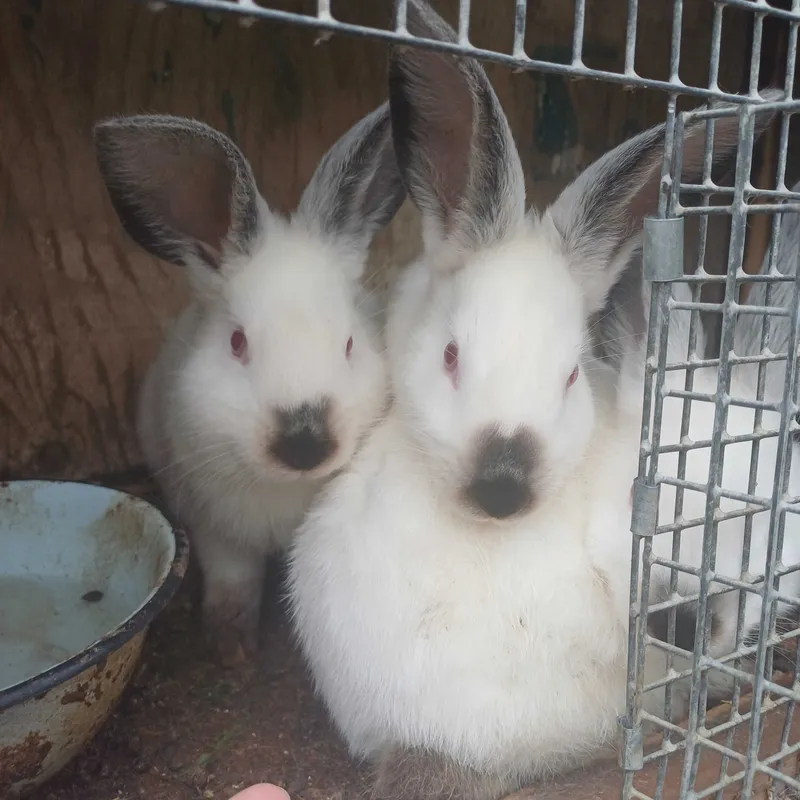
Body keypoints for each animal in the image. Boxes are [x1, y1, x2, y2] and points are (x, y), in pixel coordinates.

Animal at [94, 105, 405, 665]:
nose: (305, 443)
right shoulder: (216, 529)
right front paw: (233, 651)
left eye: (350, 343)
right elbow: (233, 584)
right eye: (237, 342)